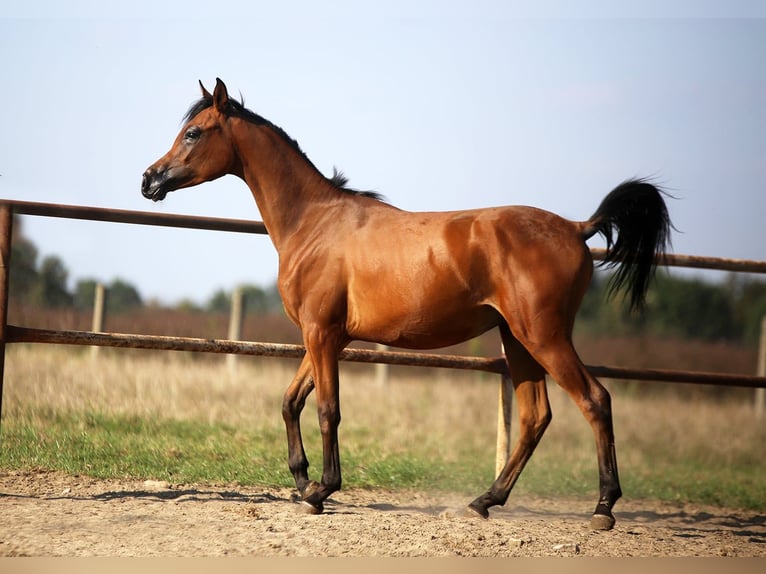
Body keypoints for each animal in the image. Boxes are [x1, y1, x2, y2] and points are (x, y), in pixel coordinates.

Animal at [142, 77, 672, 532]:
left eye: (193, 132)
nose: (149, 179)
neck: (314, 223)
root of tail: (577, 228)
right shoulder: (327, 336)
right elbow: (292, 402)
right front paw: (302, 482)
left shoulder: (321, 333)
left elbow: (327, 409)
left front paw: (321, 491)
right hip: (517, 340)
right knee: (534, 418)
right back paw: (483, 502)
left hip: (544, 336)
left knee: (595, 400)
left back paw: (603, 508)